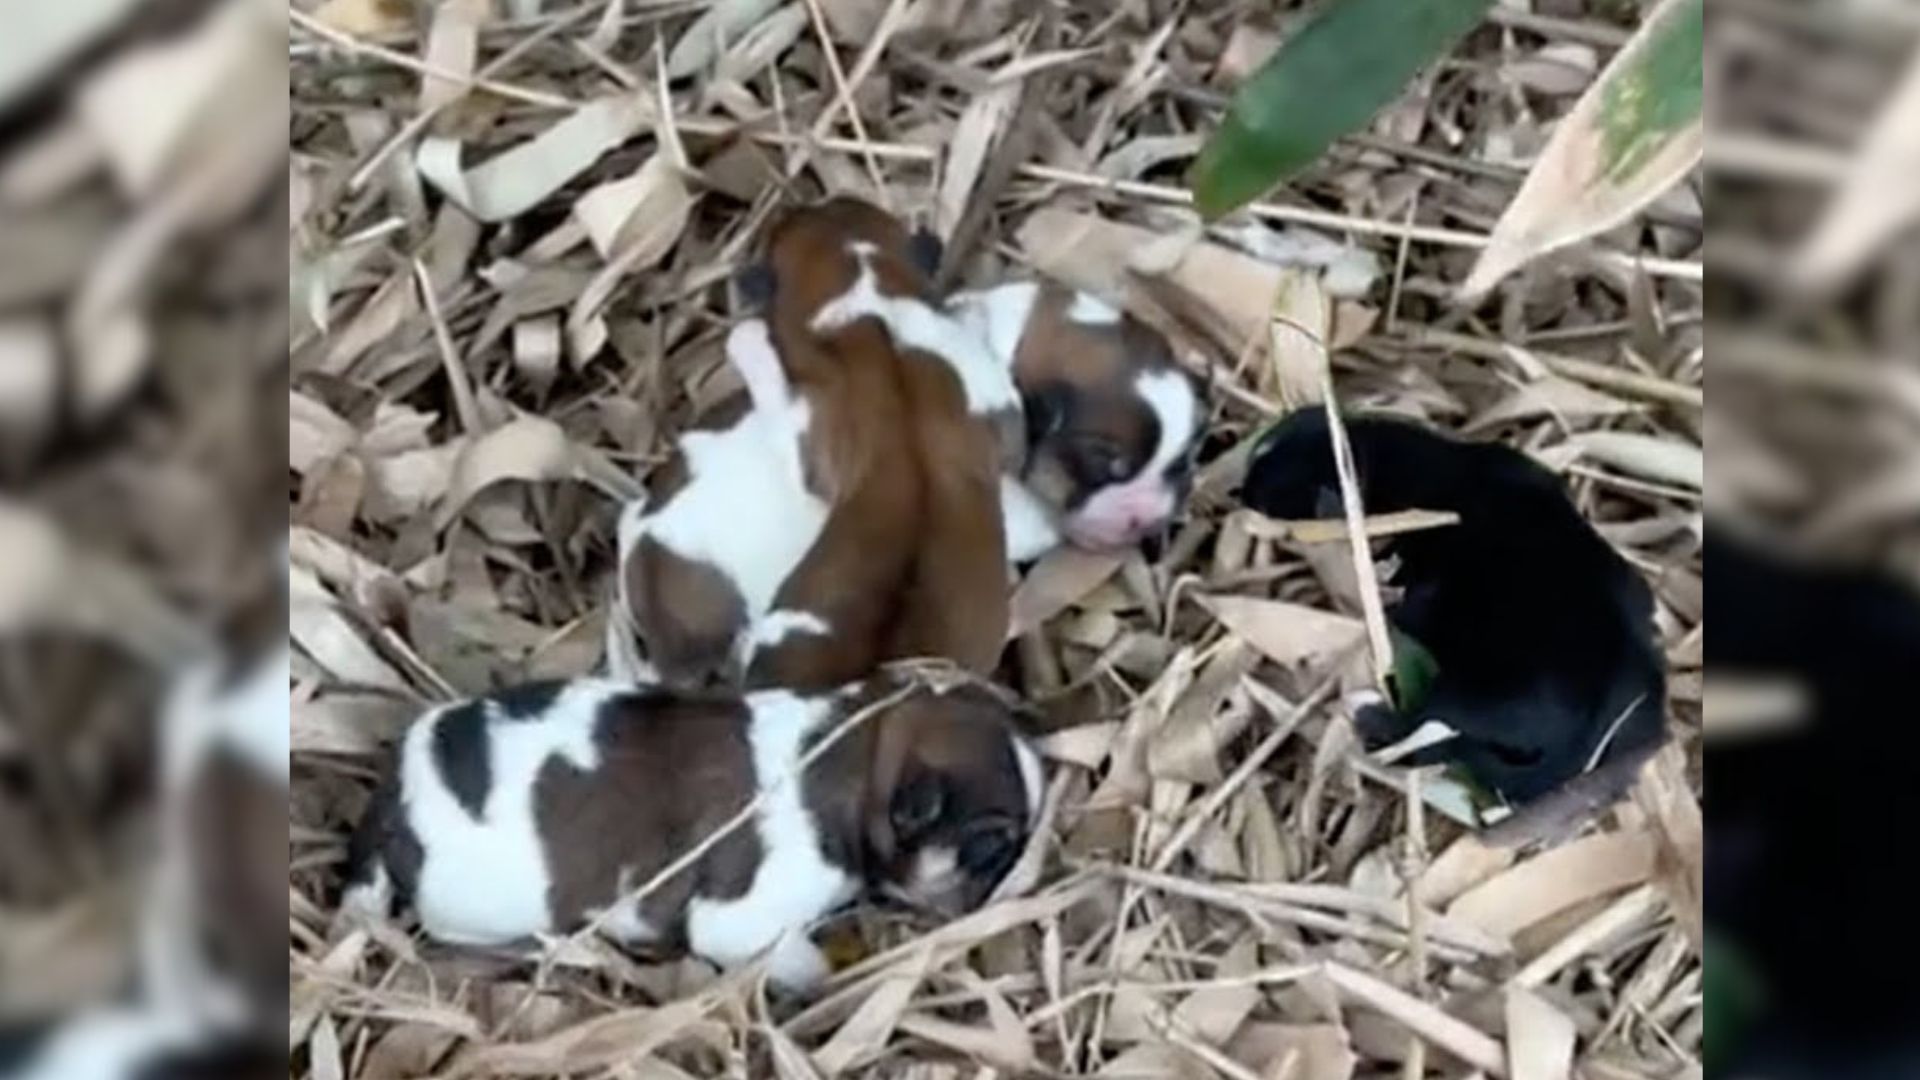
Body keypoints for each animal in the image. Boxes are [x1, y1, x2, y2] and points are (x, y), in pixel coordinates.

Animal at [337, 668, 1044, 991]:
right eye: (989, 844)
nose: (1022, 872)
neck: (850, 750)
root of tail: (392, 800)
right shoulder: (743, 918)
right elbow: (787, 955)